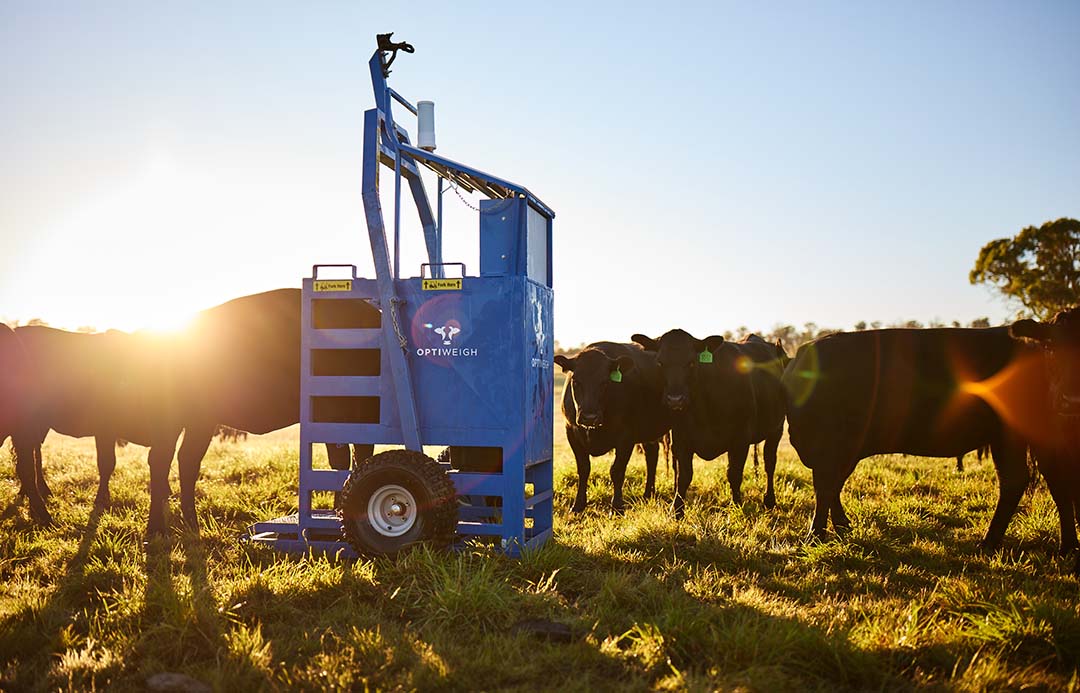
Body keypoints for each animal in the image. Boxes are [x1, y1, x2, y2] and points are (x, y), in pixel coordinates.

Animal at [552, 341, 669, 509]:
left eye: (605, 382)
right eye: (576, 381)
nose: (589, 417)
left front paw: (617, 505)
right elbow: (583, 468)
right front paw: (579, 504)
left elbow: (617, 470)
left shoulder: (626, 437)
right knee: (652, 455)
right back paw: (648, 494)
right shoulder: (572, 432)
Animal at [626, 330, 794, 518]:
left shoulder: (740, 440)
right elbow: (683, 476)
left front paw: (737, 505)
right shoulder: (681, 440)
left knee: (770, 463)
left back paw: (769, 500)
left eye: (692, 362)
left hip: (777, 428)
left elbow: (734, 474)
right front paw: (677, 510)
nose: (675, 400)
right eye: (660, 362)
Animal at [781, 325, 1058, 548]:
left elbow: (825, 489)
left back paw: (989, 542)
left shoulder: (830, 447)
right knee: (1023, 480)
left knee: (1017, 480)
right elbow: (833, 488)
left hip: (1012, 436)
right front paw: (841, 527)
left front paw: (815, 535)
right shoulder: (841, 452)